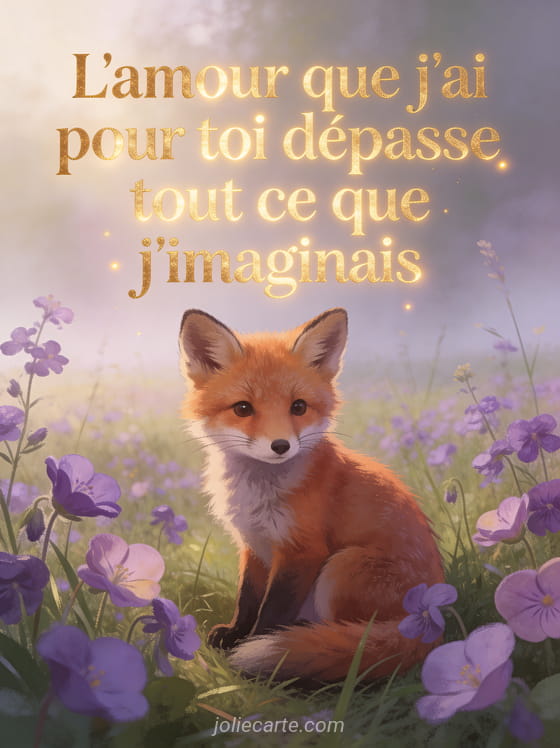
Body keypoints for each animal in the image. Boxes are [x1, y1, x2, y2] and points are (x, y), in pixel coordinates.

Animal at [179, 307, 444, 683]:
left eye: (299, 407)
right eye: (243, 408)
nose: (280, 446)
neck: (259, 493)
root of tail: (430, 627)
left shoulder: (302, 551)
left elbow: (271, 611)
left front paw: (251, 647)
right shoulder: (253, 544)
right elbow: (247, 597)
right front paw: (234, 634)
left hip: (341, 566)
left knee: (348, 637)